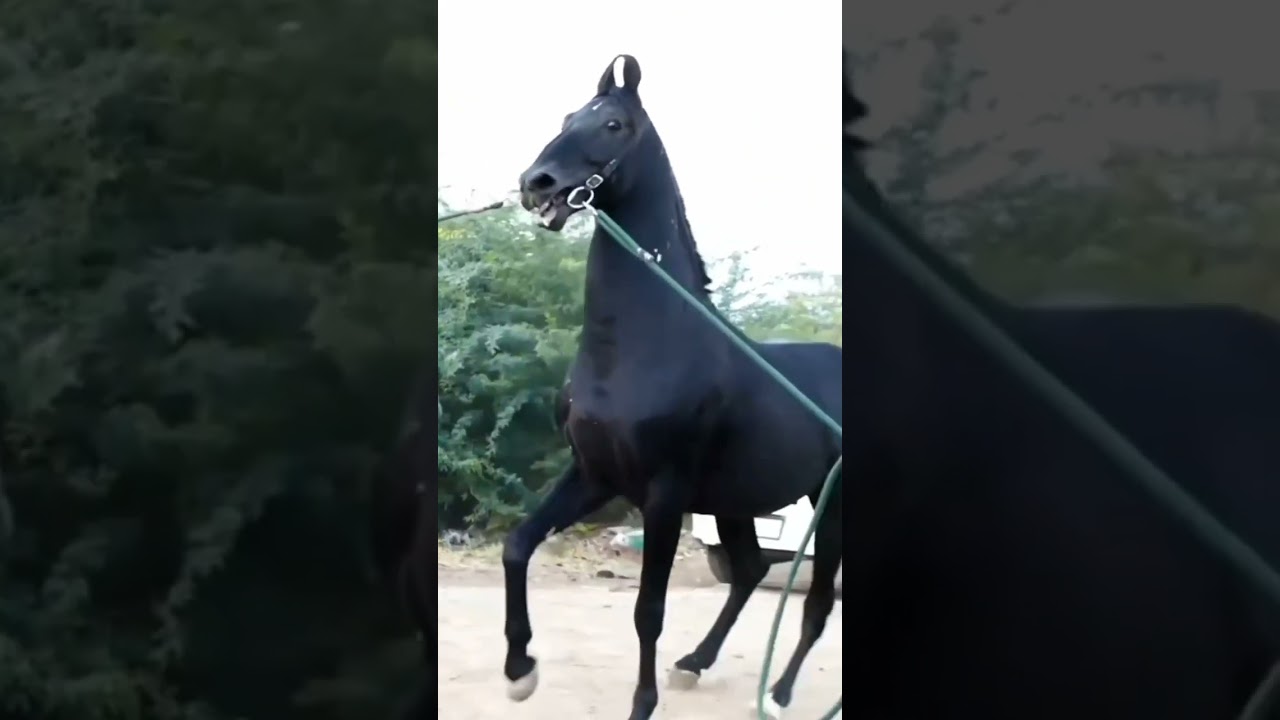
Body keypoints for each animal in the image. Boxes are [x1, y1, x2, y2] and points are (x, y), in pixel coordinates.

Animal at [504, 55, 844, 720]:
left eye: (612, 123)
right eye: (567, 115)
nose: (538, 184)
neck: (640, 349)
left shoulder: (663, 494)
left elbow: (648, 611)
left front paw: (641, 705)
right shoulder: (594, 475)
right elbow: (517, 546)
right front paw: (519, 670)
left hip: (832, 505)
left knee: (816, 603)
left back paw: (778, 694)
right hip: (737, 501)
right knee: (749, 570)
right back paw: (695, 663)